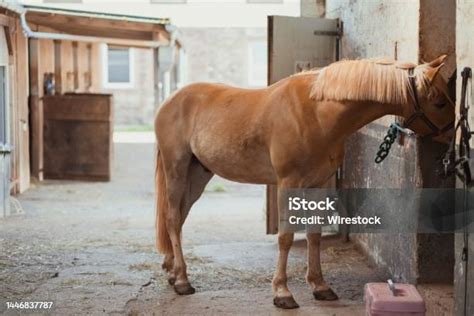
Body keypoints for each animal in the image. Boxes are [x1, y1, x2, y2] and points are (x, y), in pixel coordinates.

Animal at [154, 54, 454, 308]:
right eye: (440, 102)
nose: (454, 139)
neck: (316, 113)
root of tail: (169, 101)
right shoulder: (289, 184)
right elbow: (286, 236)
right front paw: (282, 292)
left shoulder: (317, 185)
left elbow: (314, 234)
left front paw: (320, 286)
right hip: (176, 169)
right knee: (172, 218)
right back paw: (182, 281)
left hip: (198, 175)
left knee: (179, 217)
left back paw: (172, 270)